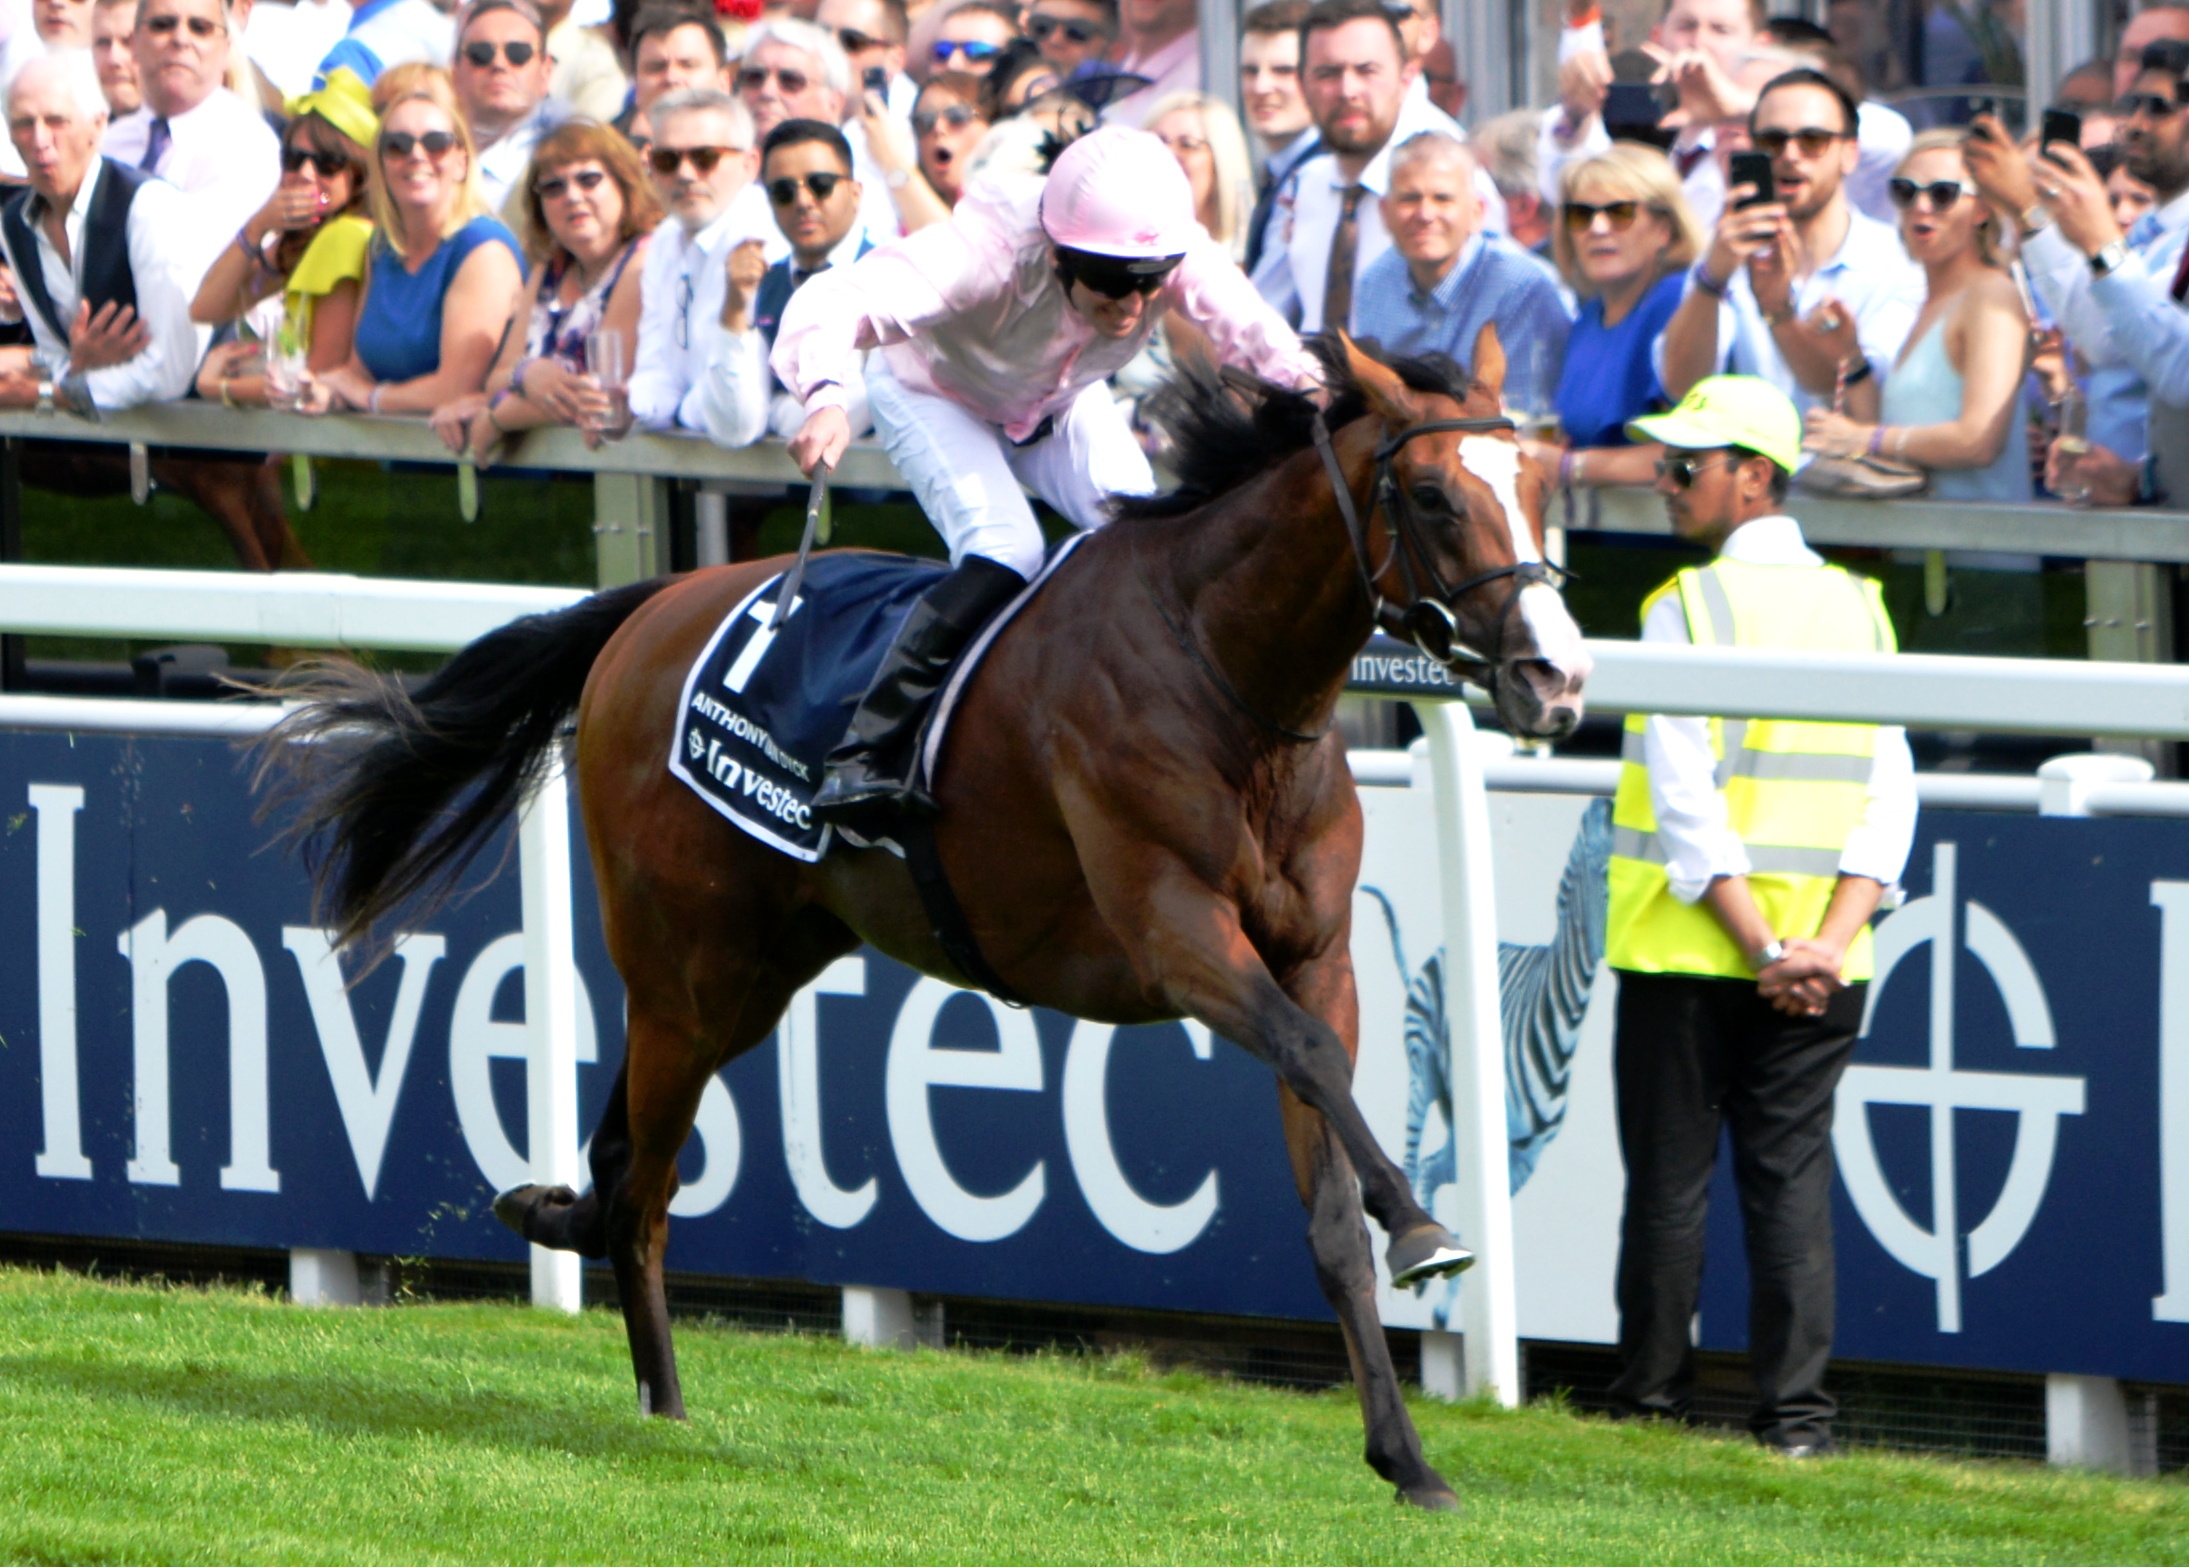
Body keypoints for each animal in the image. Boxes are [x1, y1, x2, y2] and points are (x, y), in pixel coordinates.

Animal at [269, 337, 1593, 1514]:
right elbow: (1313, 1064)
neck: (1228, 672)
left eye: (1538, 485)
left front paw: (1408, 1457)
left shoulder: (1313, 961)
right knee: (644, 1182)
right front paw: (1424, 1226)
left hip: (754, 970)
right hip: (688, 960)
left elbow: (1326, 1197)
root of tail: (652, 608)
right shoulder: (1174, 934)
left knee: (622, 1152)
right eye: (1433, 495)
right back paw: (660, 1399)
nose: (1556, 677)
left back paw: (564, 1229)